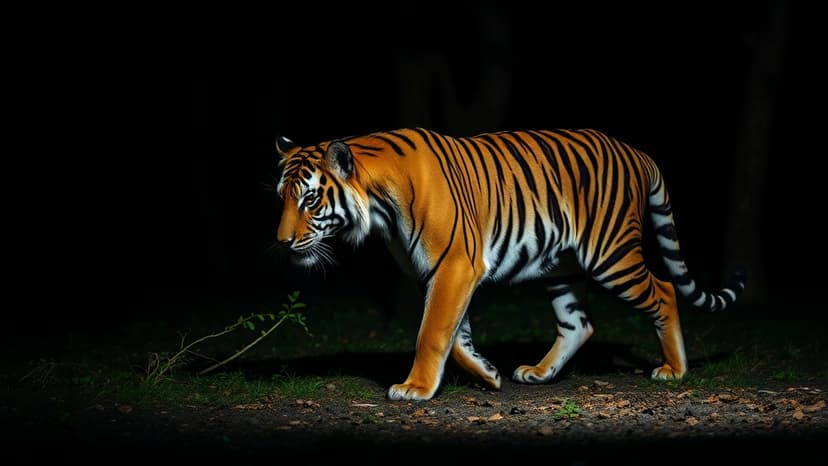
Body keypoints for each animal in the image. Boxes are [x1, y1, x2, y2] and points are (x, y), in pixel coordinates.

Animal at [274, 127, 746, 401]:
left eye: (310, 199)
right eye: (282, 197)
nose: (282, 243)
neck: (378, 208)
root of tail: (636, 152)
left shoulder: (455, 266)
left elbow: (432, 333)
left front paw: (415, 388)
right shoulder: (437, 273)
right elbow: (455, 336)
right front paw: (487, 374)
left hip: (610, 255)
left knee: (664, 290)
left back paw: (674, 371)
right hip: (563, 268)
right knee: (579, 323)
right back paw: (538, 372)